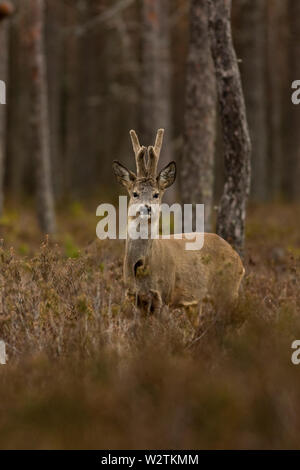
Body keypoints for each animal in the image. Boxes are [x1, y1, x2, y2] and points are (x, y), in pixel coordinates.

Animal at [112, 129, 244, 320]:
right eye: (135, 193)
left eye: (156, 194)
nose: (146, 208)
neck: (141, 269)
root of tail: (238, 259)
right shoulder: (134, 297)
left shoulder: (164, 294)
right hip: (197, 304)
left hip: (228, 291)